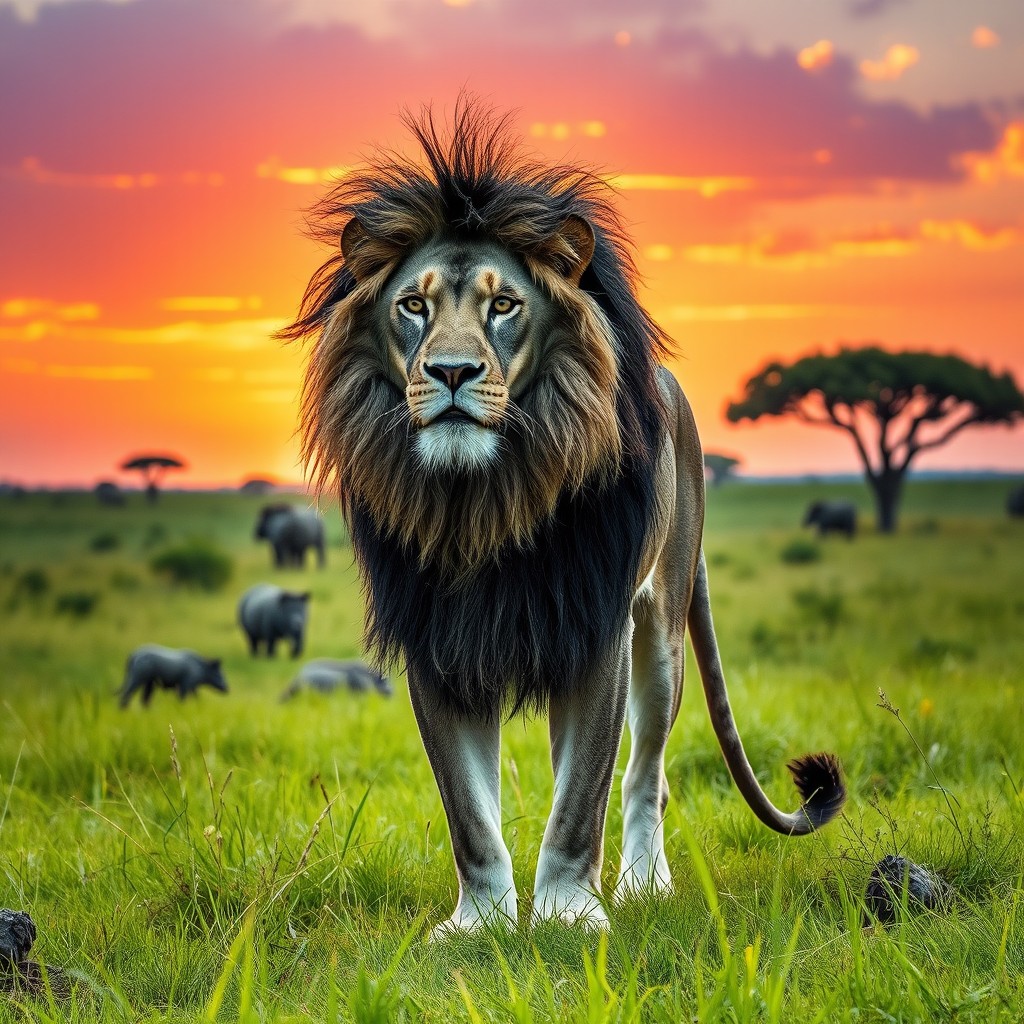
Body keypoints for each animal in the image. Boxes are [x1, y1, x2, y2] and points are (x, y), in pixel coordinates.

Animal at [281, 100, 845, 933]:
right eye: (413, 305)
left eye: (504, 304)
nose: (452, 372)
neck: (486, 498)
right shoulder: (436, 644)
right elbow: (471, 814)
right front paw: (480, 925)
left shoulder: (596, 628)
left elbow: (582, 799)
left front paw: (569, 916)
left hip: (661, 633)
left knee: (645, 773)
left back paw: (644, 884)